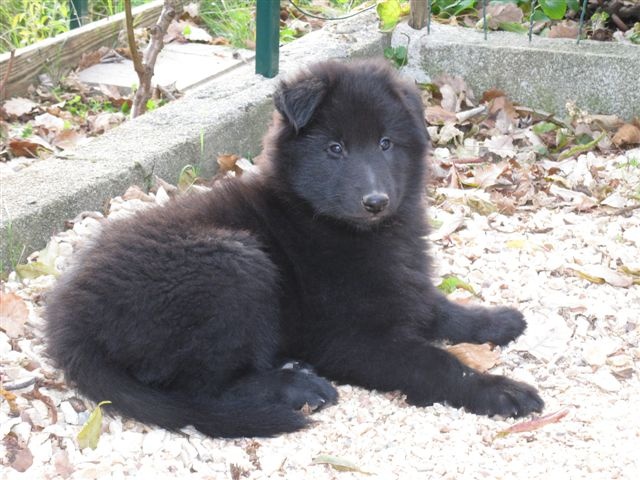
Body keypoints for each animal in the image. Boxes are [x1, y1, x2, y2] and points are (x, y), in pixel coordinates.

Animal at [46, 58, 544, 436]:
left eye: (386, 143)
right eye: (335, 149)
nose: (376, 202)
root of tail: (70, 326)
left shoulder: (406, 287)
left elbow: (441, 309)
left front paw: (495, 320)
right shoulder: (351, 340)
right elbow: (435, 361)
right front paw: (499, 389)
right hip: (235, 261)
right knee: (202, 388)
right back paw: (297, 388)